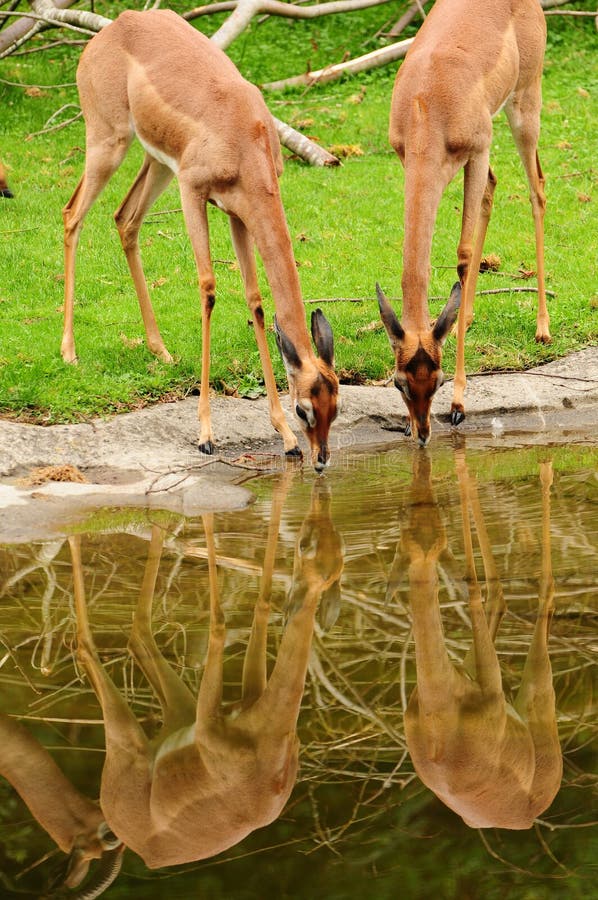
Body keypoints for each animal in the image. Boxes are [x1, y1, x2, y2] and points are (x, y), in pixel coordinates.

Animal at [64, 10, 342, 472]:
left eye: (336, 405)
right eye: (304, 408)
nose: (321, 459)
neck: (242, 135)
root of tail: (119, 23)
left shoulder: (238, 213)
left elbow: (255, 300)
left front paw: (284, 438)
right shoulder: (193, 192)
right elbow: (209, 287)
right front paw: (206, 435)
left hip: (156, 161)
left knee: (125, 220)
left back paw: (160, 350)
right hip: (110, 142)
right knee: (72, 216)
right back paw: (69, 353)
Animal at [69, 478, 342, 864]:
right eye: (306, 546)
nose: (319, 507)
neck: (266, 749)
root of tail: (136, 845)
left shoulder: (248, 696)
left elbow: (260, 606)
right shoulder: (209, 726)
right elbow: (219, 626)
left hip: (177, 716)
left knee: (138, 634)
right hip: (129, 744)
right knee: (88, 647)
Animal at [382, 0, 552, 446]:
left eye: (438, 380)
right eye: (399, 382)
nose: (423, 431)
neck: (427, 104)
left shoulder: (478, 149)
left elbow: (463, 252)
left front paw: (460, 404)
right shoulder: (411, 165)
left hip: (523, 105)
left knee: (537, 188)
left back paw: (543, 328)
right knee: (494, 187)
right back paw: (467, 317)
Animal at [400, 450, 564, 828]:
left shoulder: (491, 685)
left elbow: (473, 591)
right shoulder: (470, 671)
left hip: (537, 699)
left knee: (545, 596)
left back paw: (546, 466)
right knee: (500, 597)